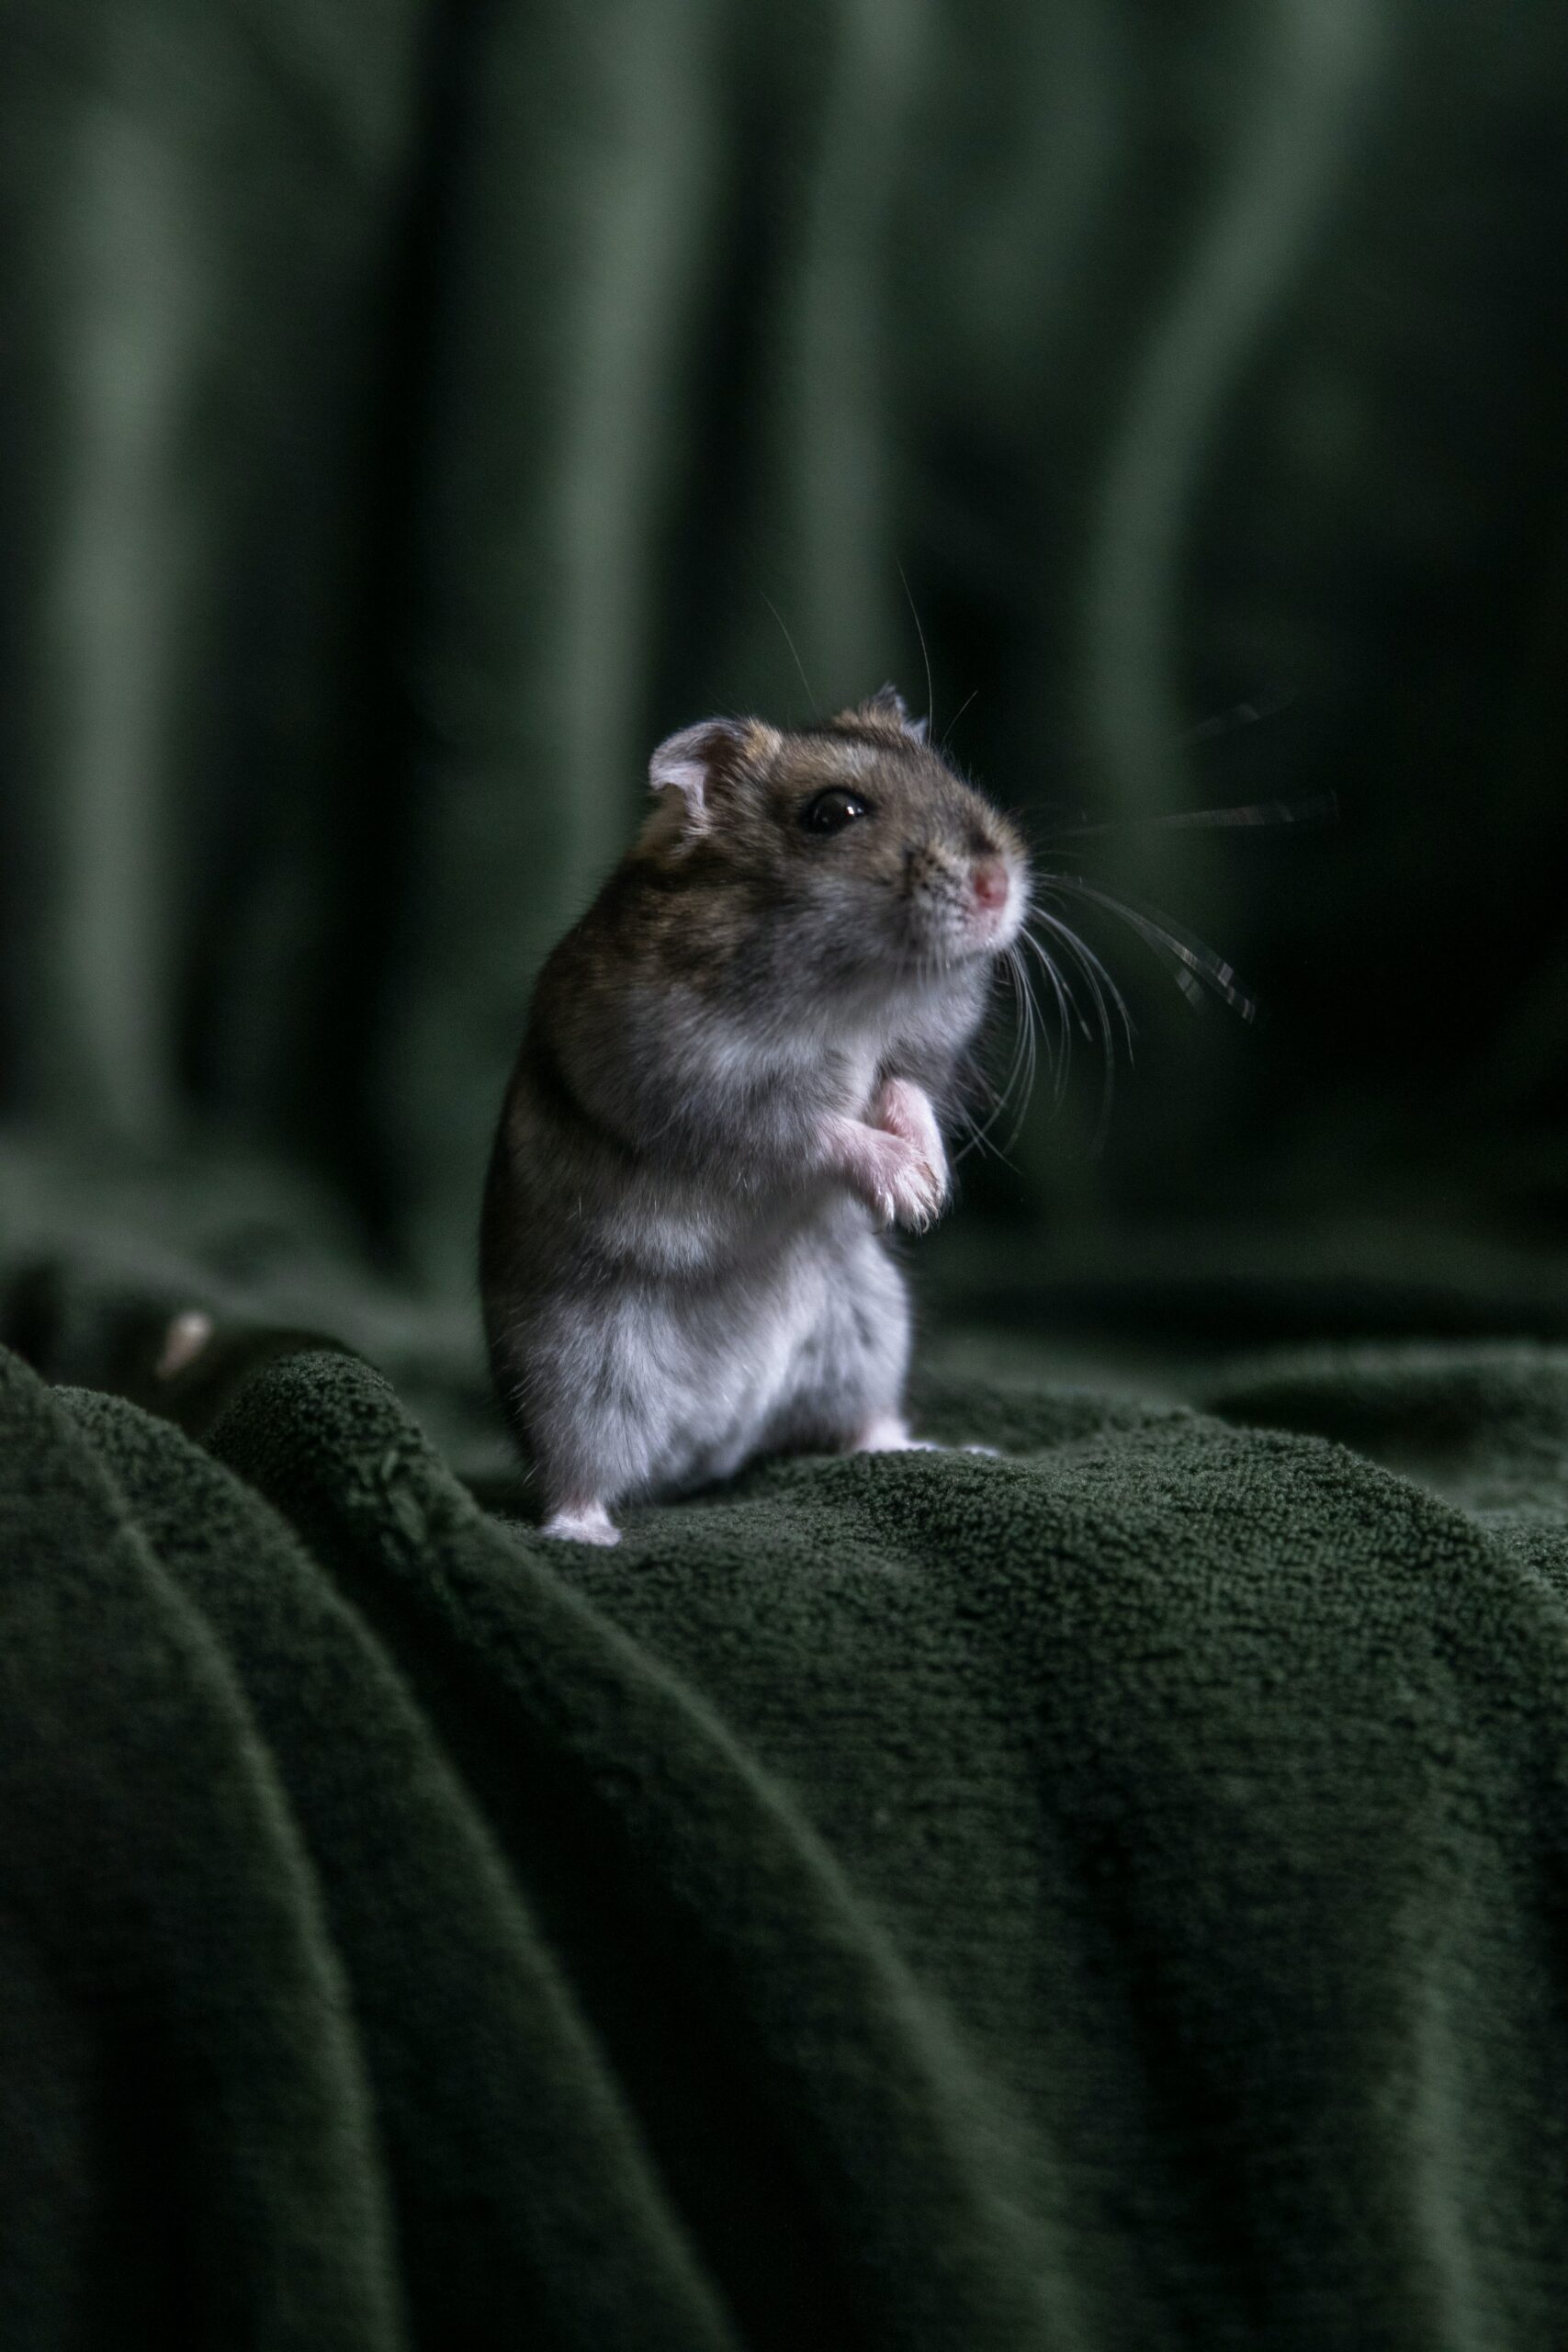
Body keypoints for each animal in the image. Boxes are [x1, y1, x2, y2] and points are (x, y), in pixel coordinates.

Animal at [480, 687, 1028, 1544]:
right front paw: (908, 1191)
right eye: (831, 813)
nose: (1000, 887)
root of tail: (712, 1449)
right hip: (573, 1377)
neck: (856, 994)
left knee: (866, 1425)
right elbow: (815, 1128)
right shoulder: (701, 1088)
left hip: (869, 1327)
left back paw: (950, 1450)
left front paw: (930, 1190)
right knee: (575, 1475)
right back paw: (586, 1535)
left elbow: (903, 1092)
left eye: (948, 774)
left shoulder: (914, 1055)